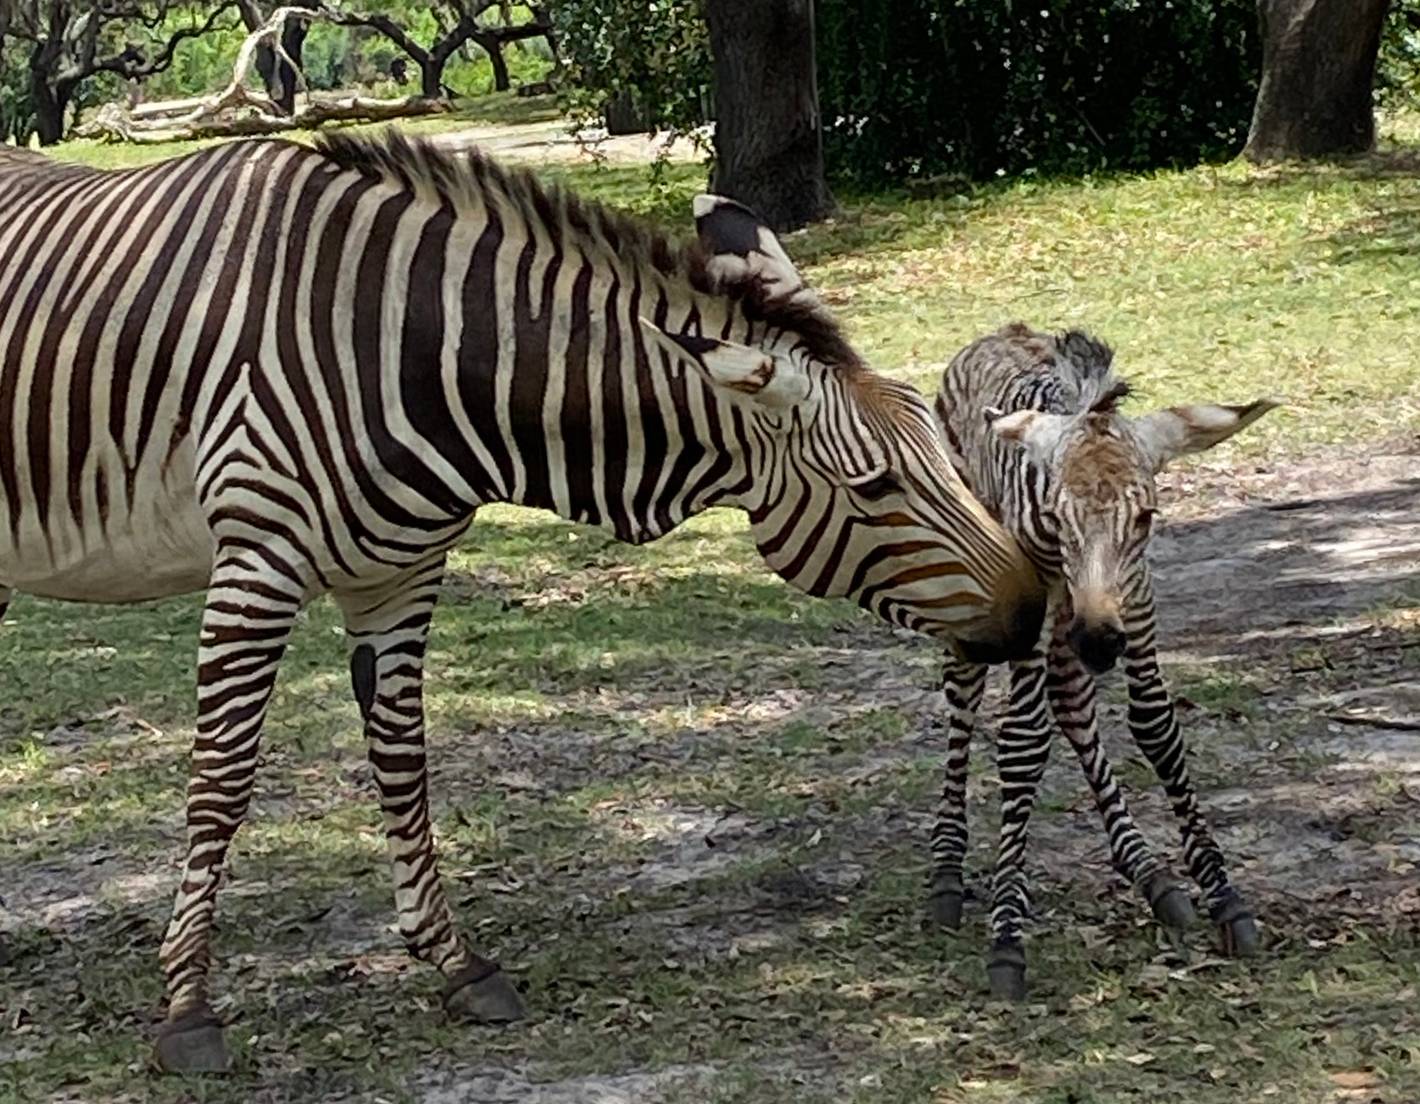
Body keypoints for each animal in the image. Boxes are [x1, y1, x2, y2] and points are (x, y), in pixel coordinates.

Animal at [0, 135, 1045, 1068]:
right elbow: (221, 780)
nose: (1037, 609)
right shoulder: (258, 560)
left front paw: (454, 962)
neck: (415, 350)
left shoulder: (401, 570)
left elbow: (403, 763)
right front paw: (187, 1009)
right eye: (876, 487)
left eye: (944, 448)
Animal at [925, 321, 1283, 1000]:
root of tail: (995, 334)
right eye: (1056, 516)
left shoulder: (1136, 602)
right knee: (964, 698)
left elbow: (1156, 728)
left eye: (1145, 516)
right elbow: (1022, 744)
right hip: (990, 591)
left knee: (1071, 702)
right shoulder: (1041, 603)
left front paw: (1223, 895)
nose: (1097, 642)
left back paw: (1150, 874)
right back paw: (946, 874)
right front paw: (1007, 936)